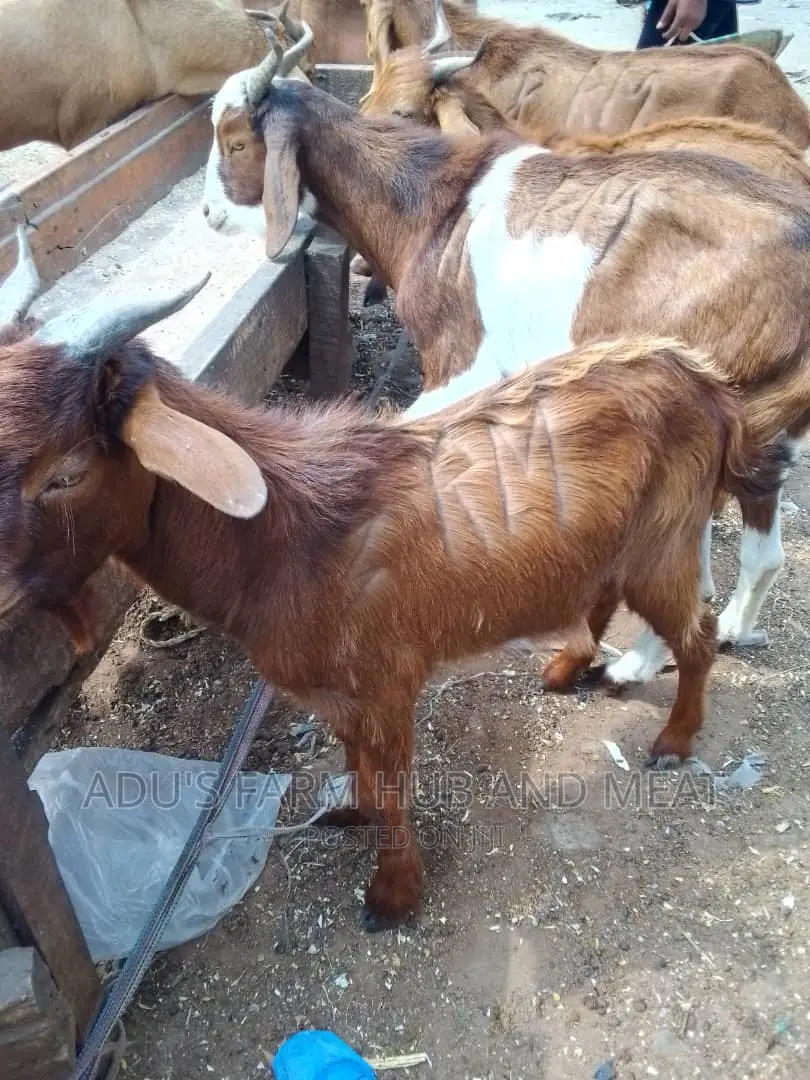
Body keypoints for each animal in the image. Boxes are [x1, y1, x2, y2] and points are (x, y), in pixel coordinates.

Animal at [0, 230, 791, 928]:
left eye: (65, 472)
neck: (284, 538)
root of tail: (709, 384)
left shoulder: (387, 682)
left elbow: (393, 788)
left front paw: (393, 895)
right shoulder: (340, 692)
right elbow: (359, 766)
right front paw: (349, 811)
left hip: (664, 542)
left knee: (698, 634)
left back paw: (674, 741)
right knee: (601, 595)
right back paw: (566, 670)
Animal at [201, 41, 810, 679]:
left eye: (237, 143)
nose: (208, 214)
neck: (428, 204)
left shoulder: (459, 364)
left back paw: (634, 665)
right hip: (764, 422)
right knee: (758, 547)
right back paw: (734, 628)